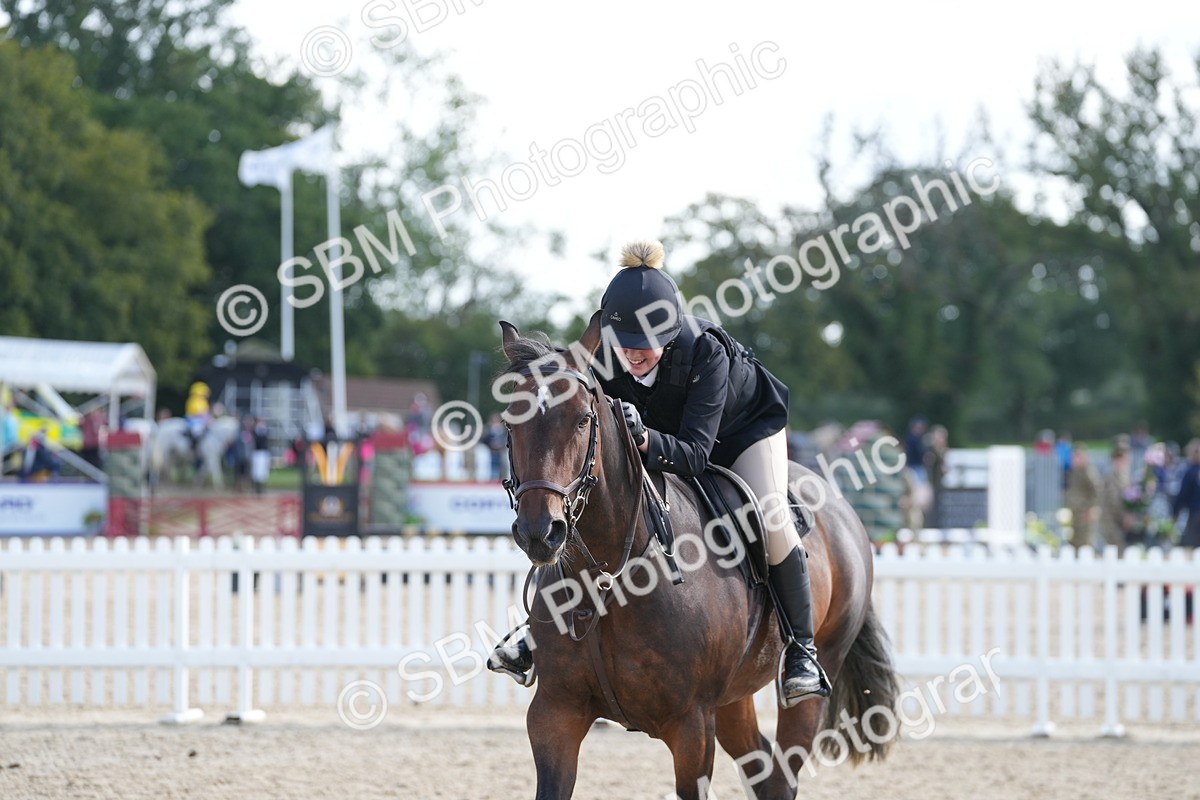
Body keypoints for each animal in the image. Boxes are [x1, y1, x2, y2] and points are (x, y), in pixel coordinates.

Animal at [498, 314, 898, 800]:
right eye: (509, 423)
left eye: (581, 420)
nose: (540, 532)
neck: (607, 578)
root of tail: (843, 509)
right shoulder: (555, 715)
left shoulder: (691, 727)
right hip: (733, 698)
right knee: (763, 767)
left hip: (810, 679)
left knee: (785, 766)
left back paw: (802, 668)